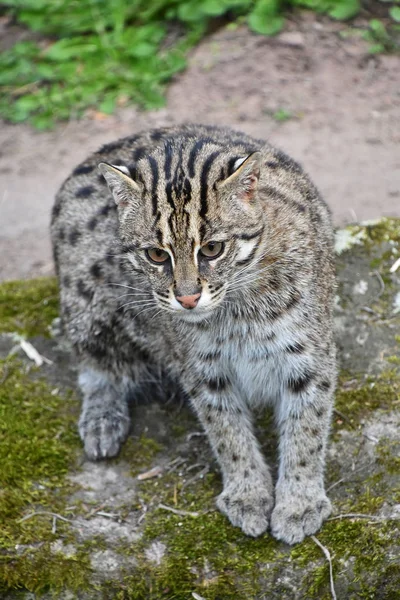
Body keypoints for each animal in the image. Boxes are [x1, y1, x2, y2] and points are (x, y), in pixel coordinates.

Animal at [51, 125, 336, 544]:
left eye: (213, 249)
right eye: (156, 255)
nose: (186, 298)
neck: (236, 307)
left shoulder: (308, 357)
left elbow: (307, 429)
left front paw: (299, 502)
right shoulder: (203, 370)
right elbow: (227, 432)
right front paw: (248, 493)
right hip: (86, 302)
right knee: (97, 366)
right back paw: (102, 416)